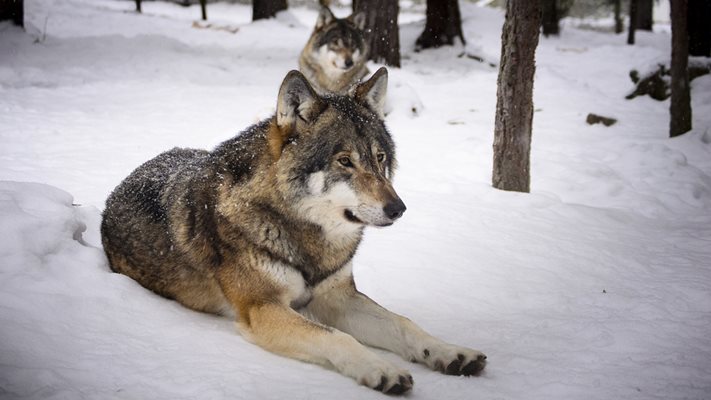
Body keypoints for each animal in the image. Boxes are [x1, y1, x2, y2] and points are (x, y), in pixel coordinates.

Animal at [100, 68, 486, 394]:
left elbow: (403, 323)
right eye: (344, 161)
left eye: (379, 158)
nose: (398, 209)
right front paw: (382, 369)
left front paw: (450, 352)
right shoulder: (263, 308)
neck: (304, 233)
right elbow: (338, 338)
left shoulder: (338, 297)